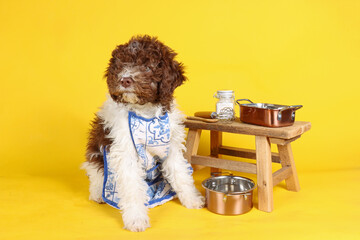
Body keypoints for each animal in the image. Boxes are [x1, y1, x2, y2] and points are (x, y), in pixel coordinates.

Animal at [82, 36, 204, 232]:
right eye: (121, 65)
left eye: (148, 67)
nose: (125, 80)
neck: (146, 113)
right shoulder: (125, 152)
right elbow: (131, 187)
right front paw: (136, 219)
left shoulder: (171, 147)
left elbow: (181, 173)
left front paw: (192, 199)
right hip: (96, 151)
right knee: (95, 171)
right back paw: (98, 193)